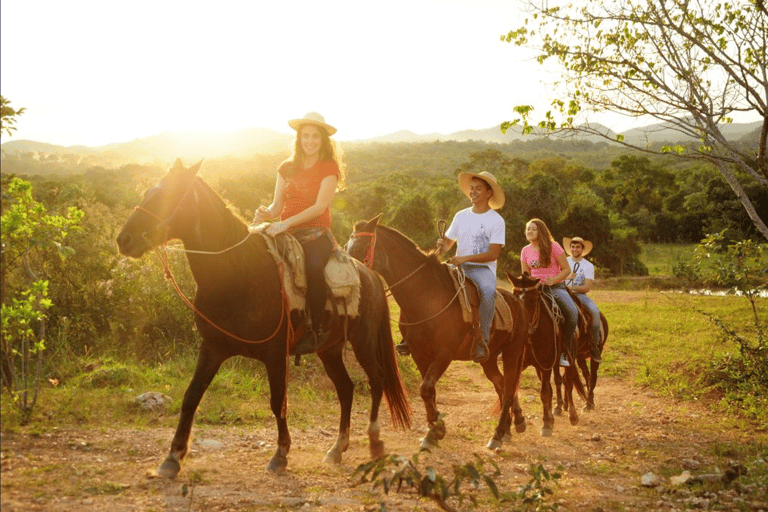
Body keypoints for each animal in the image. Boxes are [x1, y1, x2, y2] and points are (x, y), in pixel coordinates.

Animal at [115, 160, 412, 476]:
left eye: (166, 195)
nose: (124, 240)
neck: (238, 273)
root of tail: (371, 275)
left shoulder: (274, 353)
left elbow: (277, 400)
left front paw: (280, 454)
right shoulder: (212, 348)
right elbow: (191, 396)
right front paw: (172, 457)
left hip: (363, 342)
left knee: (377, 380)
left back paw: (375, 442)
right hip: (329, 350)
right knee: (346, 388)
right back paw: (337, 449)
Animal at [346, 216, 532, 452]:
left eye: (359, 248)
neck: (427, 296)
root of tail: (518, 304)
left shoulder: (444, 353)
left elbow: (426, 388)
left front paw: (435, 430)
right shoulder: (419, 353)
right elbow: (428, 390)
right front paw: (435, 430)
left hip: (512, 353)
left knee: (508, 389)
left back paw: (498, 435)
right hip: (488, 359)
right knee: (500, 384)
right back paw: (510, 426)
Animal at [508, 272, 584, 436]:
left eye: (532, 300)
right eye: (514, 297)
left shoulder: (546, 365)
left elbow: (544, 393)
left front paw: (547, 424)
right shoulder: (522, 365)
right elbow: (514, 389)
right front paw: (519, 421)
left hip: (568, 358)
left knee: (568, 384)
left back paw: (572, 415)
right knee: (556, 383)